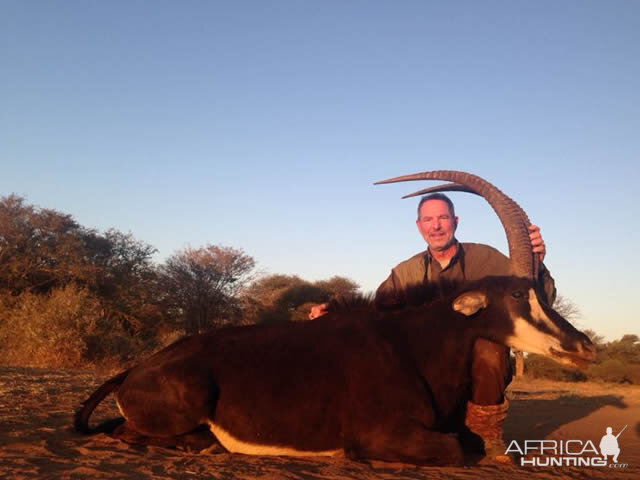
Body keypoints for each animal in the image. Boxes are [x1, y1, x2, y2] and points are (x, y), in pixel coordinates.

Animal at [75, 171, 596, 464]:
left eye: (540, 292)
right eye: (516, 293)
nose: (585, 346)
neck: (412, 345)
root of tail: (134, 371)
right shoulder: (379, 435)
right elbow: (460, 448)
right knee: (129, 433)